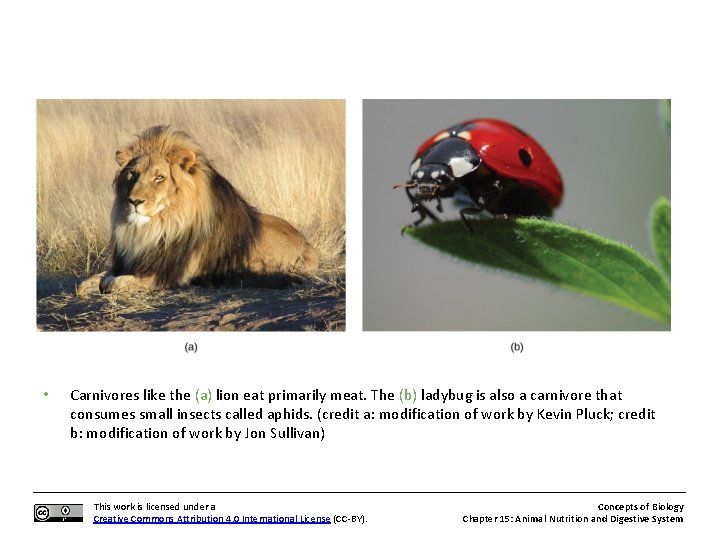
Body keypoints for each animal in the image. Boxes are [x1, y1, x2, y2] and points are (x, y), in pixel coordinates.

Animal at [79, 125, 319, 294]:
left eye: (159, 177)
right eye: (132, 174)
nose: (134, 201)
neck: (156, 227)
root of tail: (307, 244)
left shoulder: (168, 275)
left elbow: (116, 283)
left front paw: (108, 283)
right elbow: (88, 282)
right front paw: (91, 284)